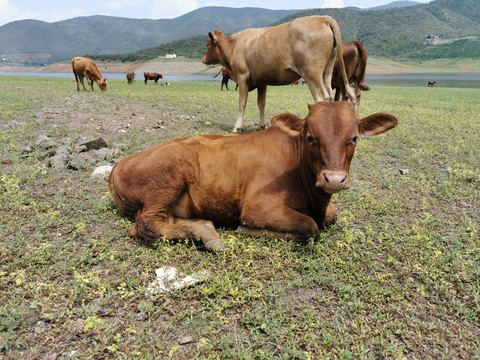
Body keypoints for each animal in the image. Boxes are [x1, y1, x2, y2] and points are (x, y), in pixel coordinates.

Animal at [109, 102, 398, 252]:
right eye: (310, 137)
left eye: (354, 138)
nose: (334, 179)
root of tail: (121, 162)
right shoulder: (257, 207)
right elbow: (310, 227)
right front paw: (252, 230)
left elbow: (331, 216)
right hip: (167, 178)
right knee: (144, 225)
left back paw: (204, 230)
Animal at [201, 15, 354, 133]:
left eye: (207, 44)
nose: (203, 60)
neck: (234, 45)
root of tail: (323, 18)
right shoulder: (261, 81)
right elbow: (261, 103)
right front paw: (261, 126)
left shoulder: (242, 76)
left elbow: (242, 103)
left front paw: (237, 127)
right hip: (327, 71)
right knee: (330, 96)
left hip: (312, 73)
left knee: (322, 98)